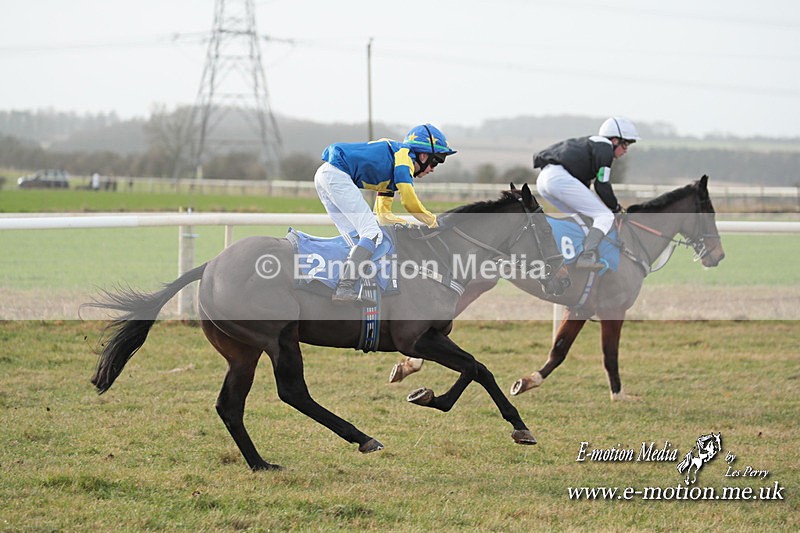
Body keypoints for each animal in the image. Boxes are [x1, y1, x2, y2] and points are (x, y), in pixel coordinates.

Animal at [87, 184, 563, 471]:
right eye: (546, 229)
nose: (560, 274)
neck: (441, 256)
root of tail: (210, 267)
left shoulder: (432, 337)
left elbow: (472, 368)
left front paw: (429, 395)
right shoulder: (417, 338)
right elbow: (478, 367)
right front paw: (513, 424)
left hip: (242, 351)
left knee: (230, 405)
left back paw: (260, 463)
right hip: (277, 337)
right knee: (292, 392)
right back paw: (363, 438)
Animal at [389, 175, 725, 401]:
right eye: (710, 212)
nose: (718, 255)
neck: (632, 243)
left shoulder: (579, 306)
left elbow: (559, 349)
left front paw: (527, 381)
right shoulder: (613, 307)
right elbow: (609, 353)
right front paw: (619, 394)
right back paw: (410, 362)